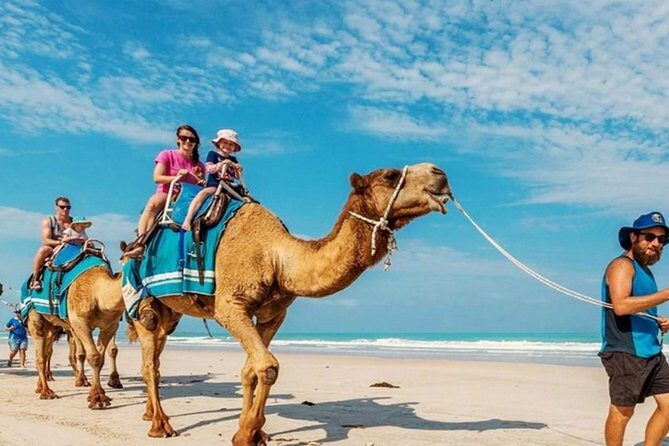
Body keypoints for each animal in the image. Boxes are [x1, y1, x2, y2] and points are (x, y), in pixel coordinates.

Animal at [27, 265, 125, 408]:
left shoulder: (111, 325)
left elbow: (103, 356)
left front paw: (104, 390)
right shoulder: (78, 321)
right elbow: (93, 357)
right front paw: (96, 398)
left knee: (45, 352)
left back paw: (40, 387)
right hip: (36, 316)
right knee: (41, 351)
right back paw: (47, 392)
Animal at [125, 163, 450, 445]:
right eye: (391, 175)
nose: (440, 173)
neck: (276, 256)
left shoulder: (274, 315)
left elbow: (251, 370)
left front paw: (251, 431)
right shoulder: (230, 306)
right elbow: (268, 366)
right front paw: (247, 434)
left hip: (170, 312)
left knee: (156, 353)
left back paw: (149, 414)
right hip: (141, 300)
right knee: (149, 360)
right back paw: (161, 425)